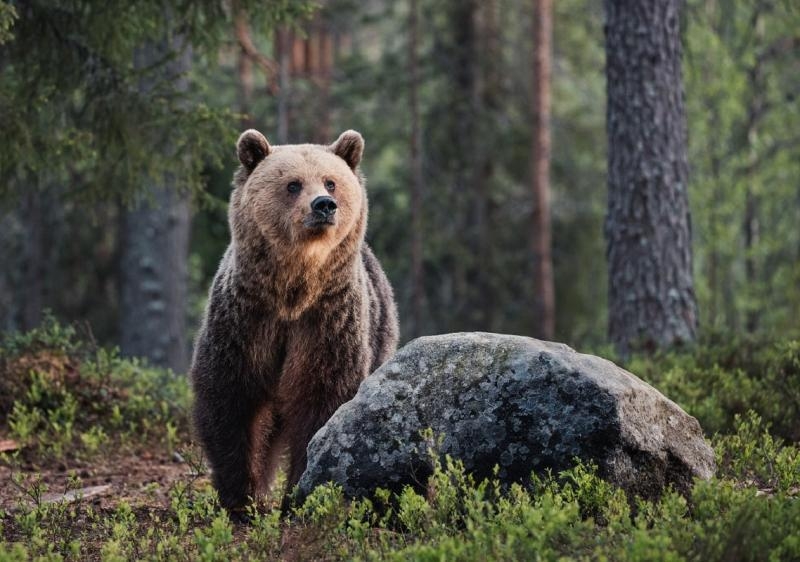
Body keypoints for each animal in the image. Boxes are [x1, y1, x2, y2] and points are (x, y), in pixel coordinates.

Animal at [189, 128, 399, 514]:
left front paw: (300, 495)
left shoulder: (327, 323)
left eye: (331, 182)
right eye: (293, 184)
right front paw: (241, 496)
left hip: (380, 335)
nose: (324, 205)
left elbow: (322, 399)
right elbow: (229, 399)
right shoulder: (245, 320)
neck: (292, 292)